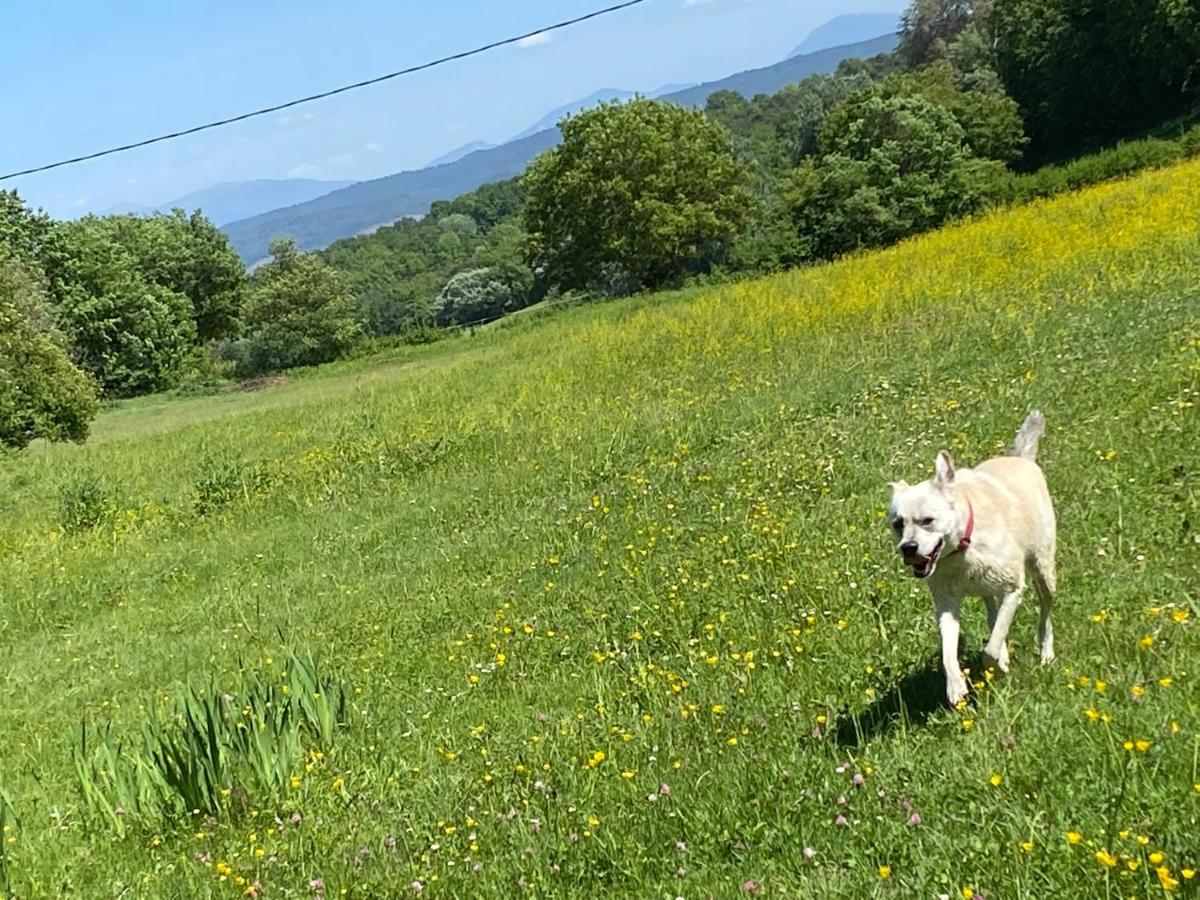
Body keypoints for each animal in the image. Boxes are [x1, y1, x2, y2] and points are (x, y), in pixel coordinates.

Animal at [888, 412, 1056, 710]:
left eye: (927, 520)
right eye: (898, 524)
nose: (908, 548)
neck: (962, 548)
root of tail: (1022, 459)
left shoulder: (1013, 588)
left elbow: (991, 645)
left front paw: (996, 665)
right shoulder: (945, 602)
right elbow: (948, 649)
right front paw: (955, 685)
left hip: (1043, 569)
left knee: (1045, 610)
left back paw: (1046, 652)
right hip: (988, 587)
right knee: (992, 613)